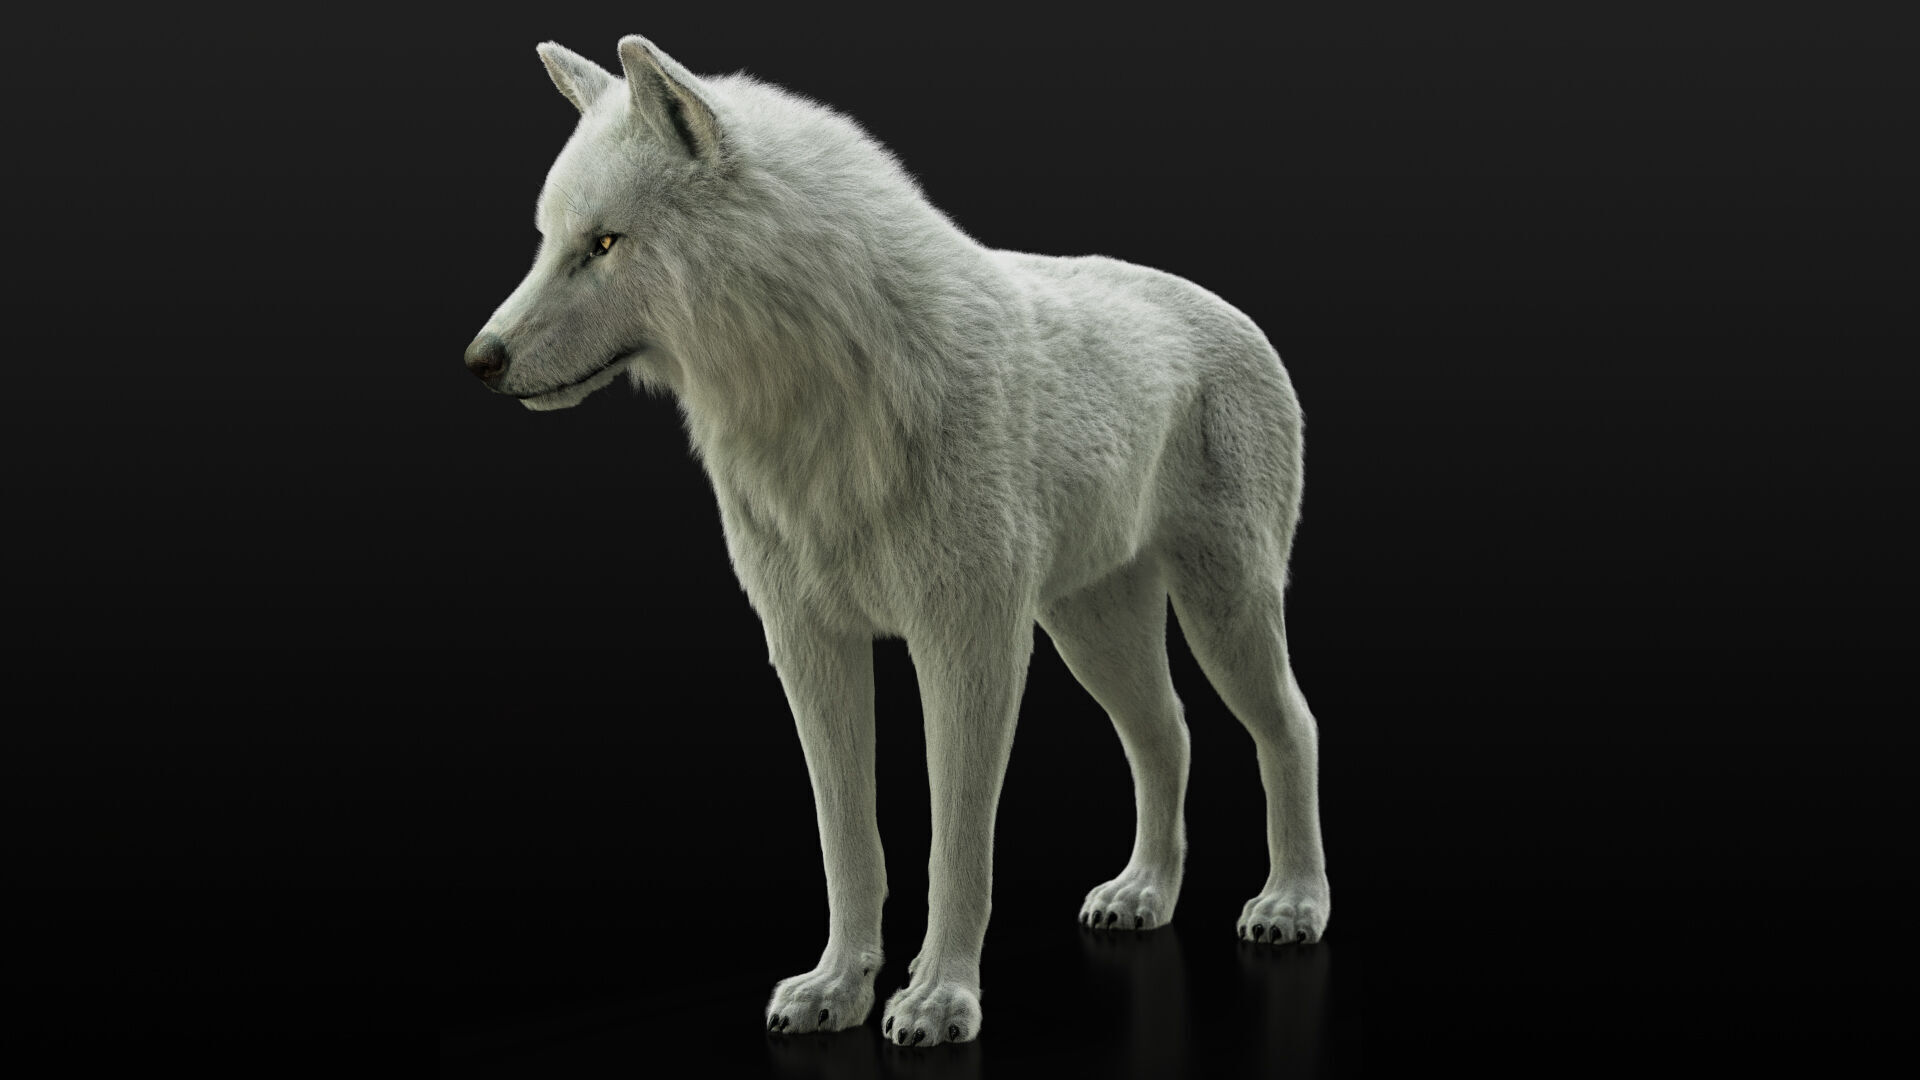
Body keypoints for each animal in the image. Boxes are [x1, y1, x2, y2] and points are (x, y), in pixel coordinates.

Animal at [465, 36, 1331, 1047]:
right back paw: (1143, 894)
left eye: (603, 244)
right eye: (546, 241)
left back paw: (1293, 904)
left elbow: (955, 842)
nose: (479, 361)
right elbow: (850, 839)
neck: (819, 404)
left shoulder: (968, 645)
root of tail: (1234, 312)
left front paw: (940, 998)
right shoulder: (809, 646)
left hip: (1220, 607)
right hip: (1093, 633)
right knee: (1169, 734)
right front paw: (837, 988)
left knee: (1289, 727)